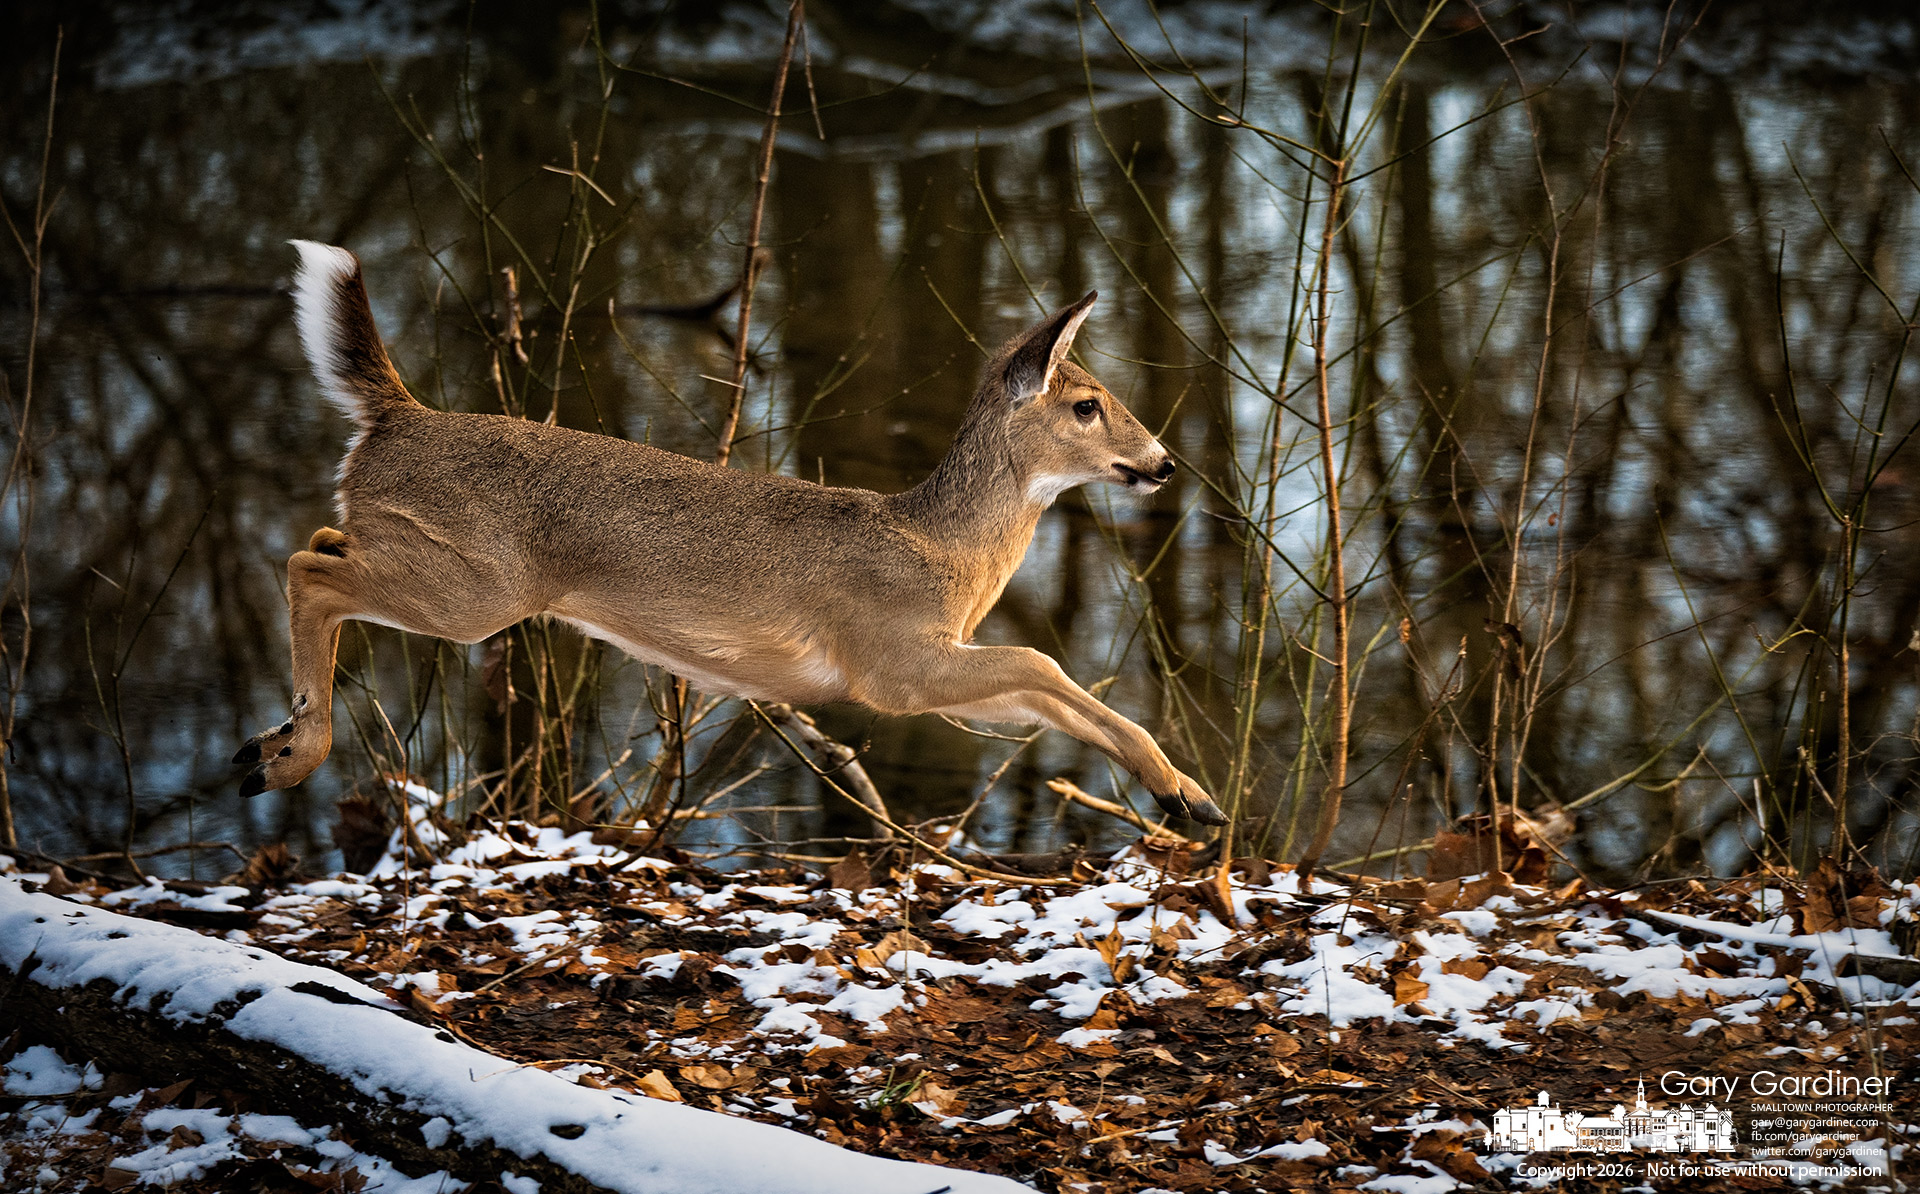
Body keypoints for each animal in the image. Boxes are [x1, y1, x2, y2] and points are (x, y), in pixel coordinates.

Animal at [231, 242, 1227, 827]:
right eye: (1087, 405)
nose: (1163, 461)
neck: (942, 552)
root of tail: (395, 417)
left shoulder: (922, 665)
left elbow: (1045, 694)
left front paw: (1187, 798)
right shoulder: (888, 661)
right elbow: (1043, 663)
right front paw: (1190, 793)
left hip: (430, 561)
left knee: (319, 540)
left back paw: (270, 743)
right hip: (475, 589)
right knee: (306, 565)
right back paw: (285, 755)